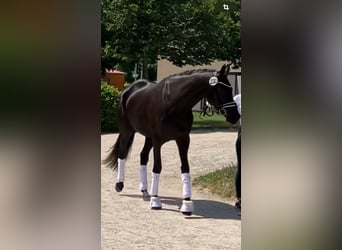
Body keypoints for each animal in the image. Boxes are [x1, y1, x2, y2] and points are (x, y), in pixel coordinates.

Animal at [103, 64, 239, 215]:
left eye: (230, 88)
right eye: (222, 89)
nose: (235, 116)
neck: (173, 102)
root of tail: (128, 90)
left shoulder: (183, 139)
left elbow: (185, 167)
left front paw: (186, 203)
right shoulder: (158, 140)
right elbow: (157, 167)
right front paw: (155, 201)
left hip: (148, 137)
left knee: (143, 156)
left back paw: (145, 191)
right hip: (127, 131)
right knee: (122, 154)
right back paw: (119, 185)